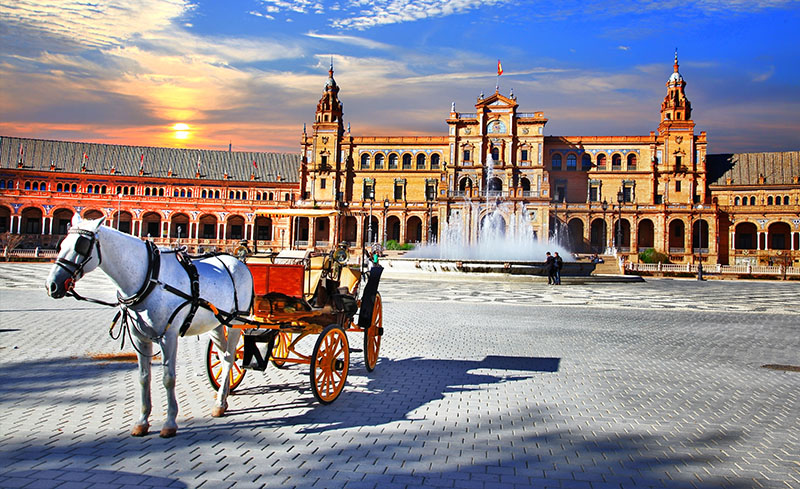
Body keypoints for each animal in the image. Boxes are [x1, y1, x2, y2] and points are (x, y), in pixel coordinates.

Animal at [45, 215, 252, 436]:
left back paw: (221, 400)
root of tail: (238, 262)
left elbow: (168, 377)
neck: (149, 278)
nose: (52, 285)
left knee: (229, 357)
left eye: (81, 245)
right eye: (61, 245)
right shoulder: (139, 337)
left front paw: (169, 423)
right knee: (224, 356)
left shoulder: (168, 336)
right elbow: (144, 377)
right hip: (215, 322)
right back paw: (223, 398)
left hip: (236, 321)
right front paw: (142, 421)